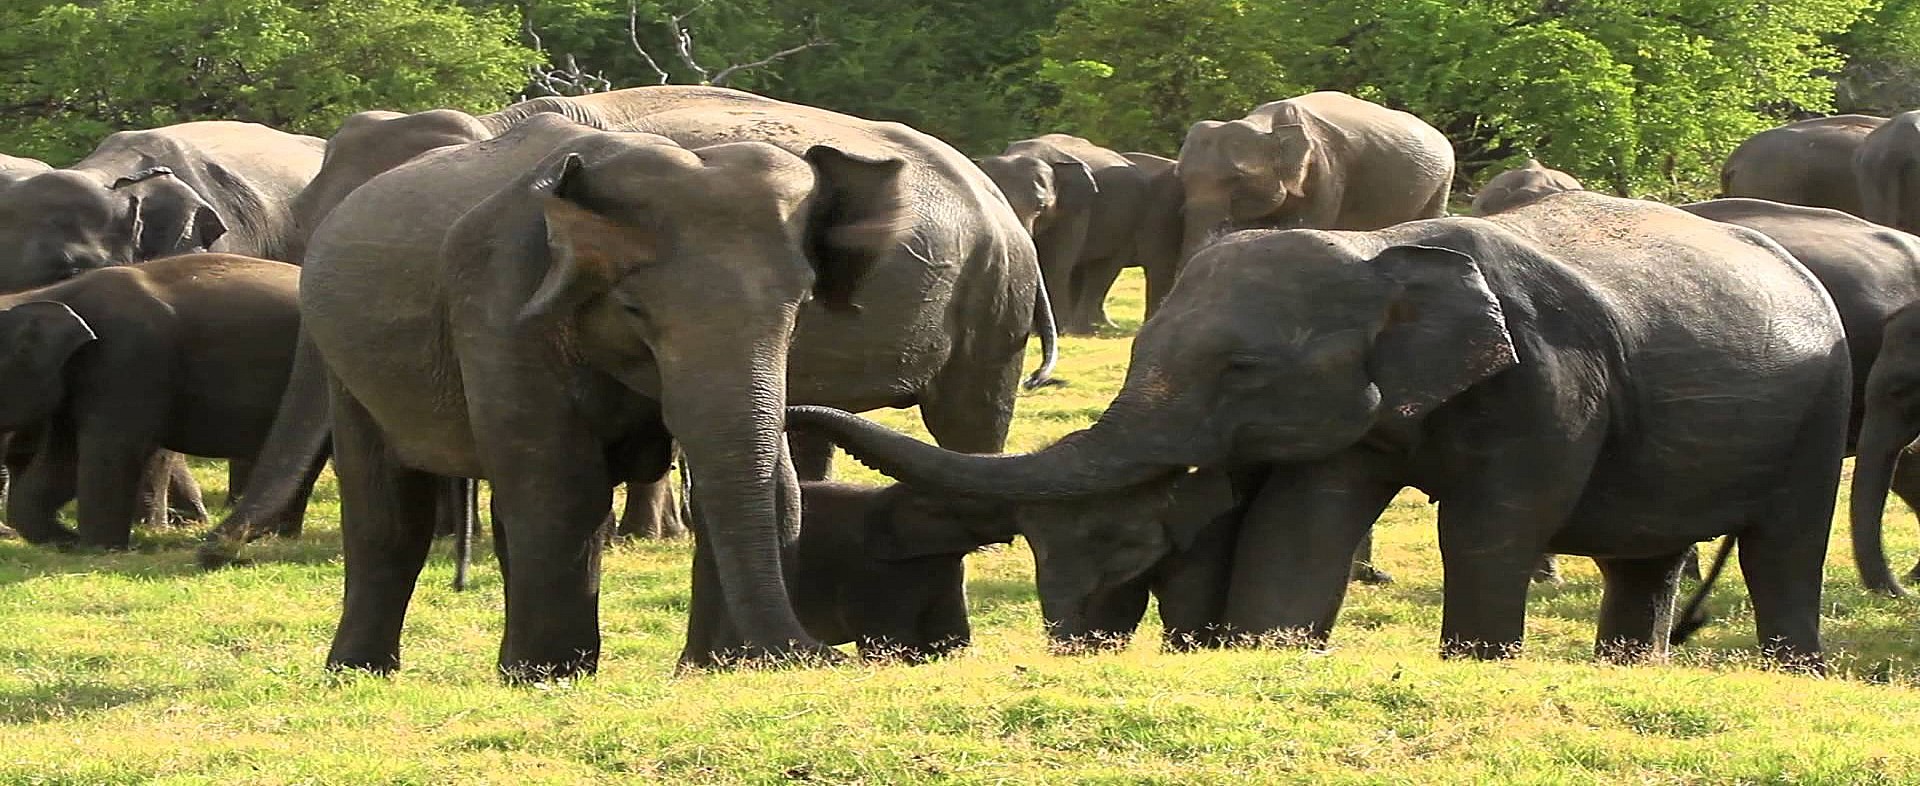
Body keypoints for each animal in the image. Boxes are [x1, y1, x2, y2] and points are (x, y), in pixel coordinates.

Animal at [0, 251, 299, 545]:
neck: (48, 292)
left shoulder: (126, 359)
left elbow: (112, 448)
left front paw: (100, 548)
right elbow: (64, 456)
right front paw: (65, 541)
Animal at [791, 191, 1843, 668]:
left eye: (1242, 371)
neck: (1379, 249)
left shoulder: (1548, 385)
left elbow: (1490, 526)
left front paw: (1474, 664)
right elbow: (1306, 520)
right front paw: (1273, 648)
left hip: (1819, 411)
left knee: (1785, 545)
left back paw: (1787, 668)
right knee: (1646, 557)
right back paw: (1630, 665)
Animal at [983, 134, 1175, 330]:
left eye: (1041, 207)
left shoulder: (1077, 207)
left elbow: (1057, 262)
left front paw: (1053, 328)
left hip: (1131, 218)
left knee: (1104, 268)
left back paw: (1086, 327)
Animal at [1167, 88, 1451, 259]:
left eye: (1237, 179)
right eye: (1181, 178)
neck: (1267, 123)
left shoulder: (1327, 170)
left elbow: (1306, 224)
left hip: (1442, 182)